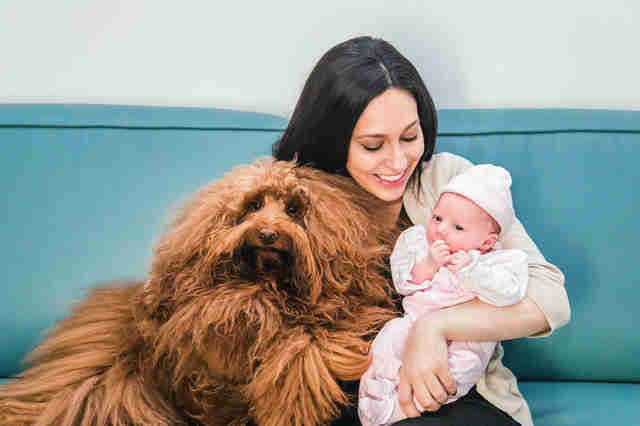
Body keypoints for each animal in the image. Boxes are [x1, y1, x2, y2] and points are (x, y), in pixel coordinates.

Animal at [0, 159, 400, 426]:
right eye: (254, 205)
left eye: (293, 209)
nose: (268, 234)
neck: (267, 283)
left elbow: (306, 349)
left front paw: (289, 401)